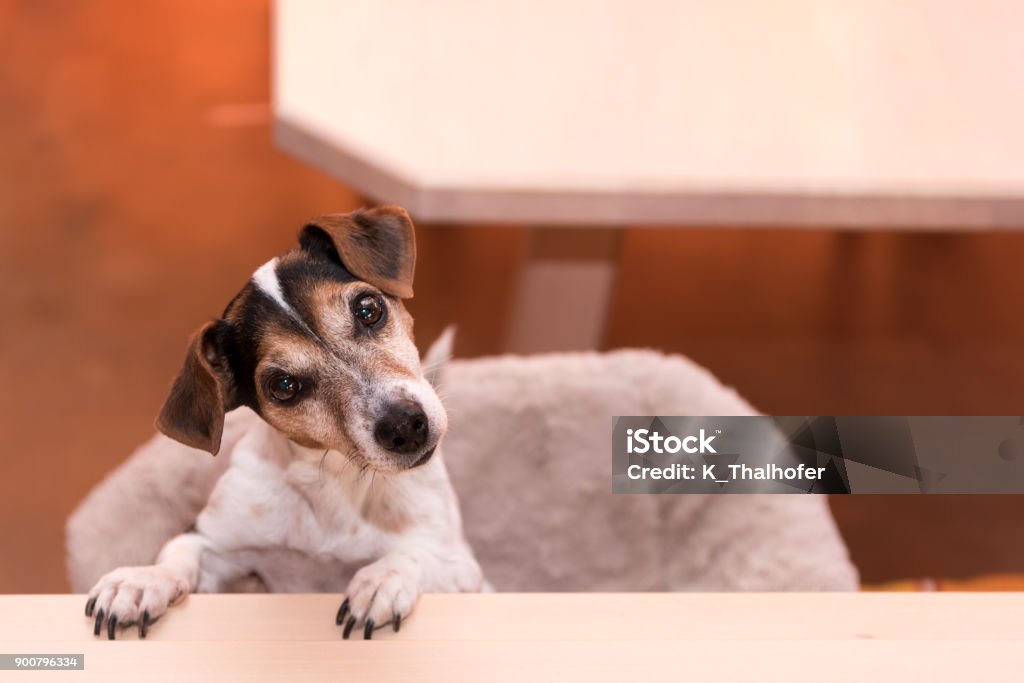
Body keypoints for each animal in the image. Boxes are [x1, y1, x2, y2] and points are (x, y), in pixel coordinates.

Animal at [82, 204, 483, 643]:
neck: (336, 487)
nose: (405, 426)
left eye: (368, 308)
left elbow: (412, 556)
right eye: (284, 386)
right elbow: (177, 555)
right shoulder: (213, 542)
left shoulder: (465, 573)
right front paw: (140, 581)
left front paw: (382, 580)